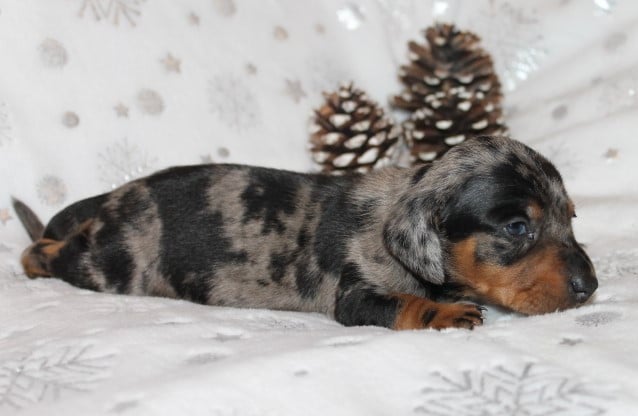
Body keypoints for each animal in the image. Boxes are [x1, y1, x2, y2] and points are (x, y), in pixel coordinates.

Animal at [13, 136, 597, 330]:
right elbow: (404, 304)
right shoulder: (358, 293)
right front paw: (447, 312)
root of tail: (118, 193)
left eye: (570, 217)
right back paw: (33, 259)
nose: (591, 288)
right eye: (517, 227)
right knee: (47, 249)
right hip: (111, 263)